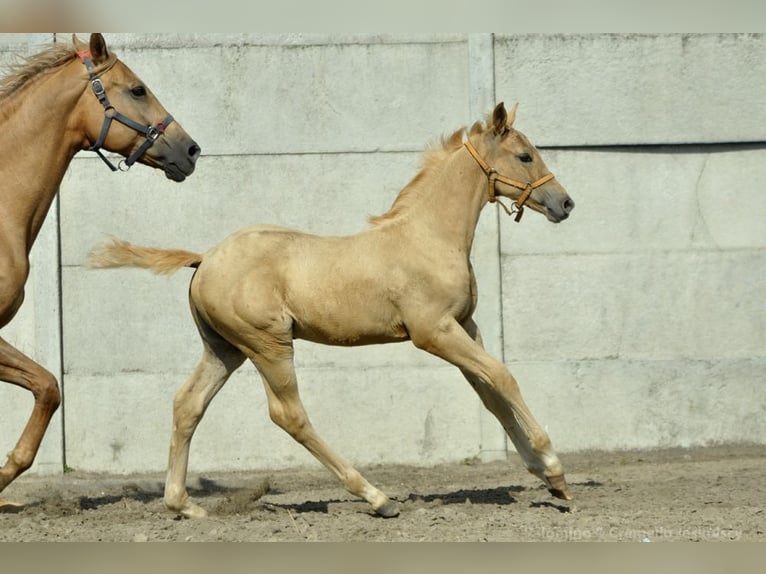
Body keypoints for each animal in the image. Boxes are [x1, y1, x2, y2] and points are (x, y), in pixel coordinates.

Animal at [88, 101, 576, 520]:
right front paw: (554, 467)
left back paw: (184, 505)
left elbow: (491, 392)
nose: (565, 204)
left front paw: (547, 480)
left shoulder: (464, 326)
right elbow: (503, 377)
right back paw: (377, 497)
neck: (428, 237)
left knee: (188, 404)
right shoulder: (433, 332)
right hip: (268, 344)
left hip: (224, 349)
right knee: (288, 414)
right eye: (525, 156)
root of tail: (205, 257)